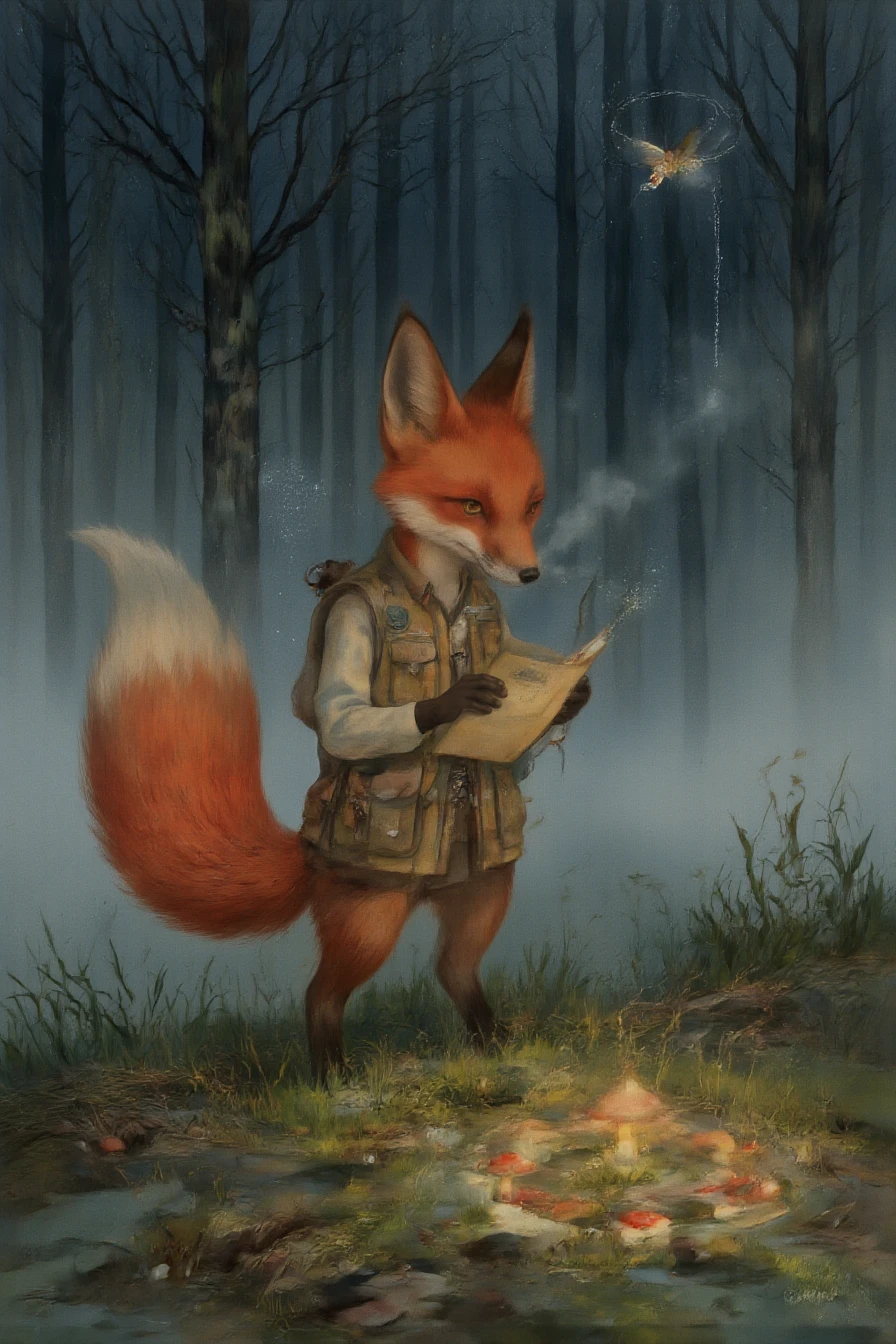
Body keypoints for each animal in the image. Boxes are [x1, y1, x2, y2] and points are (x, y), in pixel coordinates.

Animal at [77, 308, 590, 1082]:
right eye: (470, 505)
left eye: (532, 505)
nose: (529, 574)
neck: (438, 591)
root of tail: (308, 854)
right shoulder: (350, 633)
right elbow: (345, 716)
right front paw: (454, 702)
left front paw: (571, 696)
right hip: (372, 919)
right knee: (321, 993)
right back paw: (330, 1080)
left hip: (482, 889)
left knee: (454, 969)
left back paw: (493, 1045)